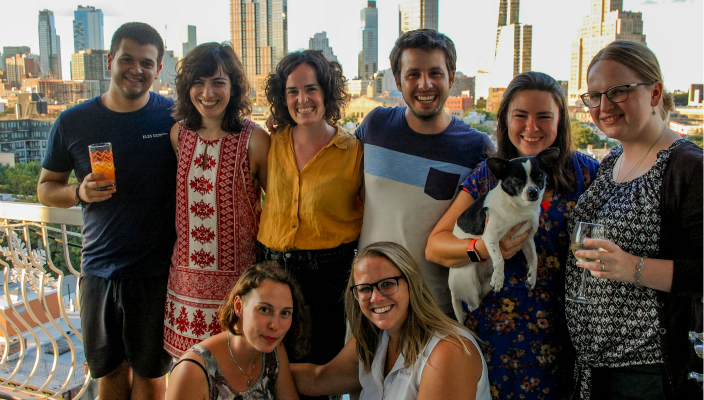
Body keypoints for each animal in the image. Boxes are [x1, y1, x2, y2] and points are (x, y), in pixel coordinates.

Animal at [452, 148, 560, 322]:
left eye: (539, 176)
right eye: (516, 178)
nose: (533, 192)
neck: (520, 208)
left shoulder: (527, 239)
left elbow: (534, 259)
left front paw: (532, 278)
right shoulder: (491, 237)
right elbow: (499, 258)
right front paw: (498, 279)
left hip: (483, 287)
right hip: (469, 280)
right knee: (473, 305)